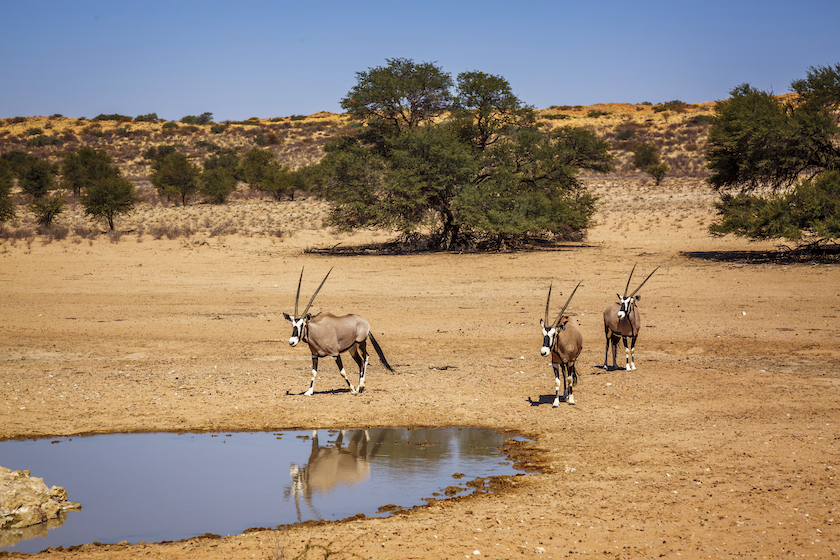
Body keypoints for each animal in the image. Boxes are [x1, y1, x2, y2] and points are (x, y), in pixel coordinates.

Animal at [282, 268, 394, 396]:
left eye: (302, 324)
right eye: (293, 325)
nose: (292, 342)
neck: (317, 330)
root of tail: (364, 322)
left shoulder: (336, 354)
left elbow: (342, 372)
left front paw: (352, 389)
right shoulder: (314, 355)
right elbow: (313, 372)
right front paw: (309, 391)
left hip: (361, 342)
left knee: (366, 358)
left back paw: (360, 387)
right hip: (352, 348)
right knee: (360, 362)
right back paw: (359, 387)